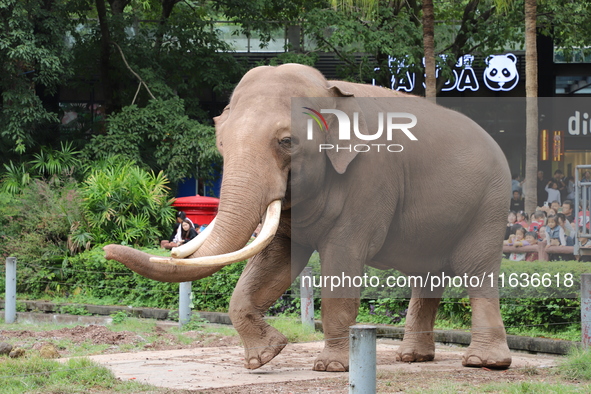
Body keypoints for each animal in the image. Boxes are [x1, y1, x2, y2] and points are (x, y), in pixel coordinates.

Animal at [105, 63, 512, 370]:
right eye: (221, 144)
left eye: (286, 142)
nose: (107, 250)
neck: (328, 89)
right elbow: (274, 262)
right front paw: (264, 358)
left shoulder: (370, 180)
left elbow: (342, 261)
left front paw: (331, 366)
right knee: (426, 275)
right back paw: (413, 358)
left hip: (491, 202)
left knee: (476, 270)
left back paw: (484, 363)